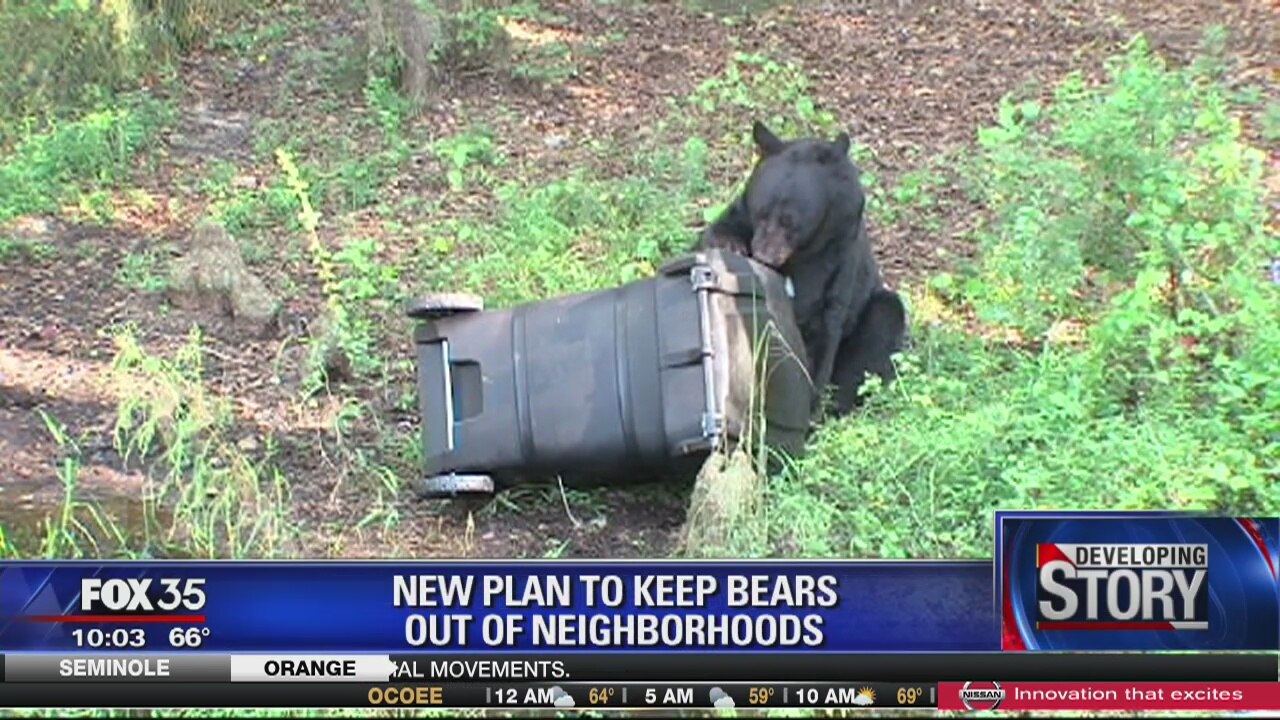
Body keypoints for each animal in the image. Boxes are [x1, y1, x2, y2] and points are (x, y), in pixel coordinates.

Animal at [697, 121, 907, 420]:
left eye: (790, 222)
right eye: (762, 213)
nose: (764, 255)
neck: (803, 253)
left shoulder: (838, 257)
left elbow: (823, 329)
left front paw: (809, 412)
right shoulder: (741, 212)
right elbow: (717, 231)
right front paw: (731, 246)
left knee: (884, 320)